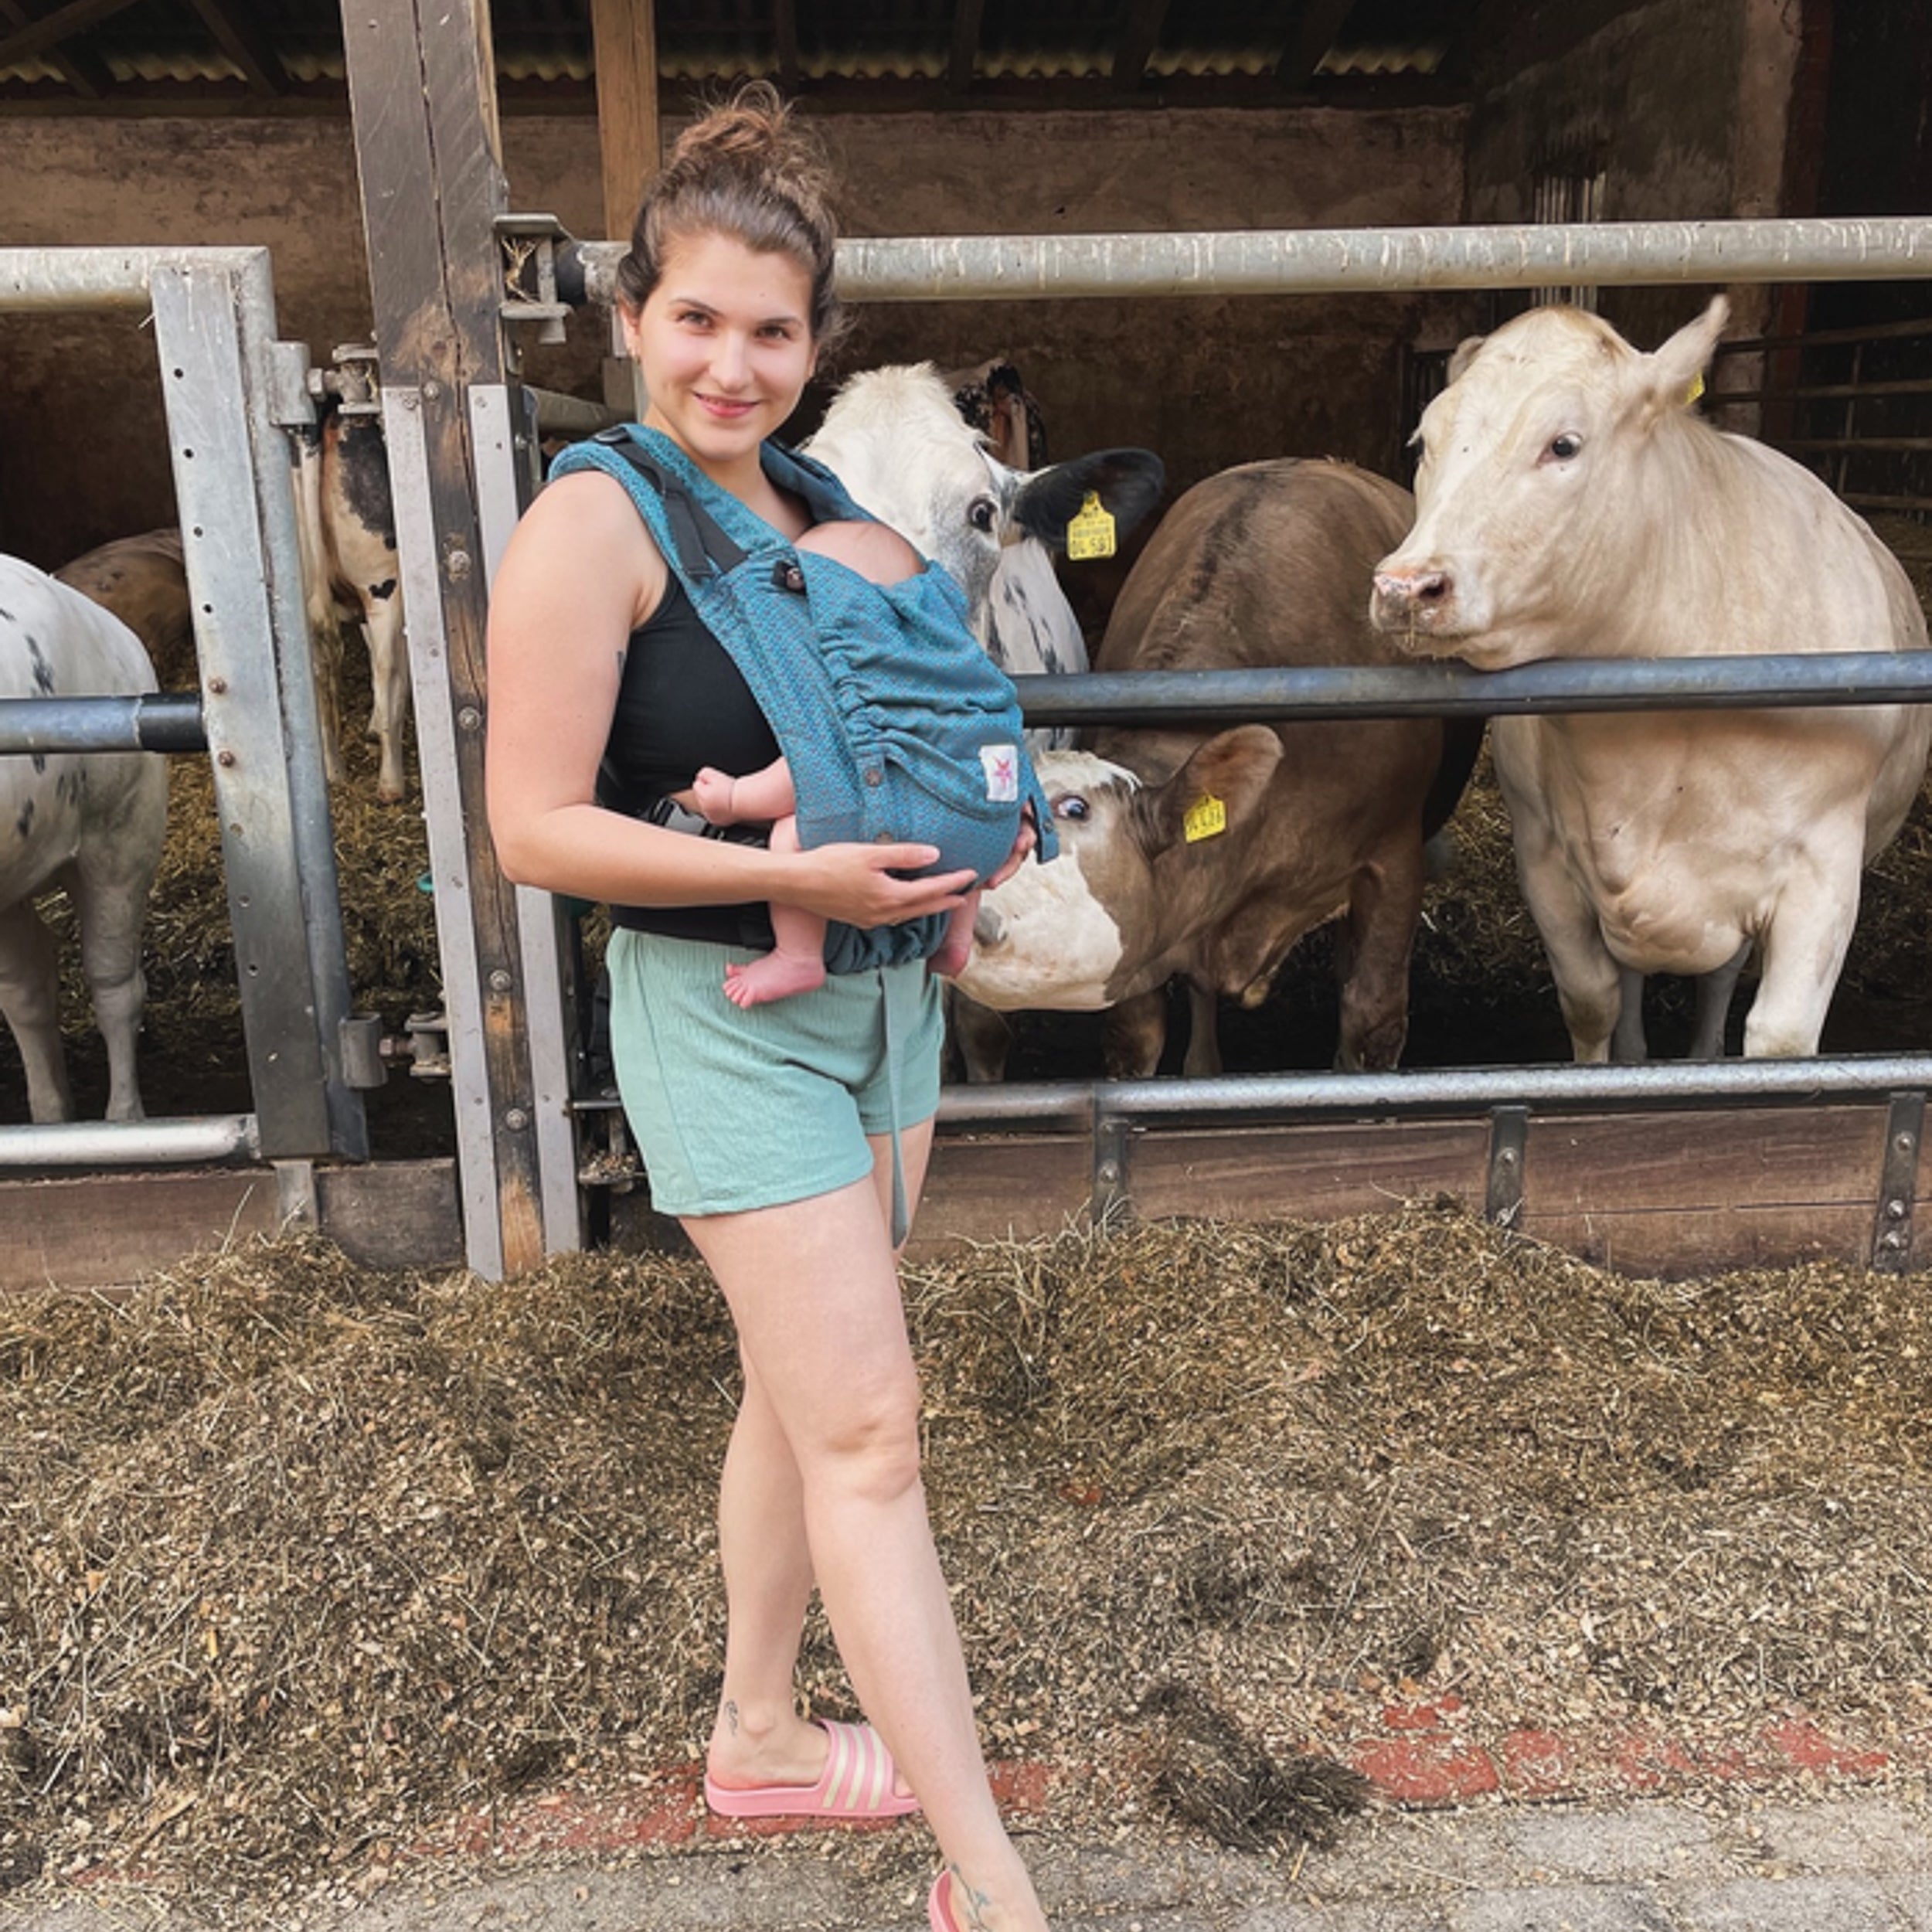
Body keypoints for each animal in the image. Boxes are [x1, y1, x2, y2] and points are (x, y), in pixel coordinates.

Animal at [1368, 296, 1932, 1062]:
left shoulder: (1823, 871)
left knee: (1720, 973)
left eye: (1564, 445)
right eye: (1424, 441)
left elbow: (1779, 1042)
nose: (1405, 587)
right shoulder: (1543, 857)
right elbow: (1591, 1002)